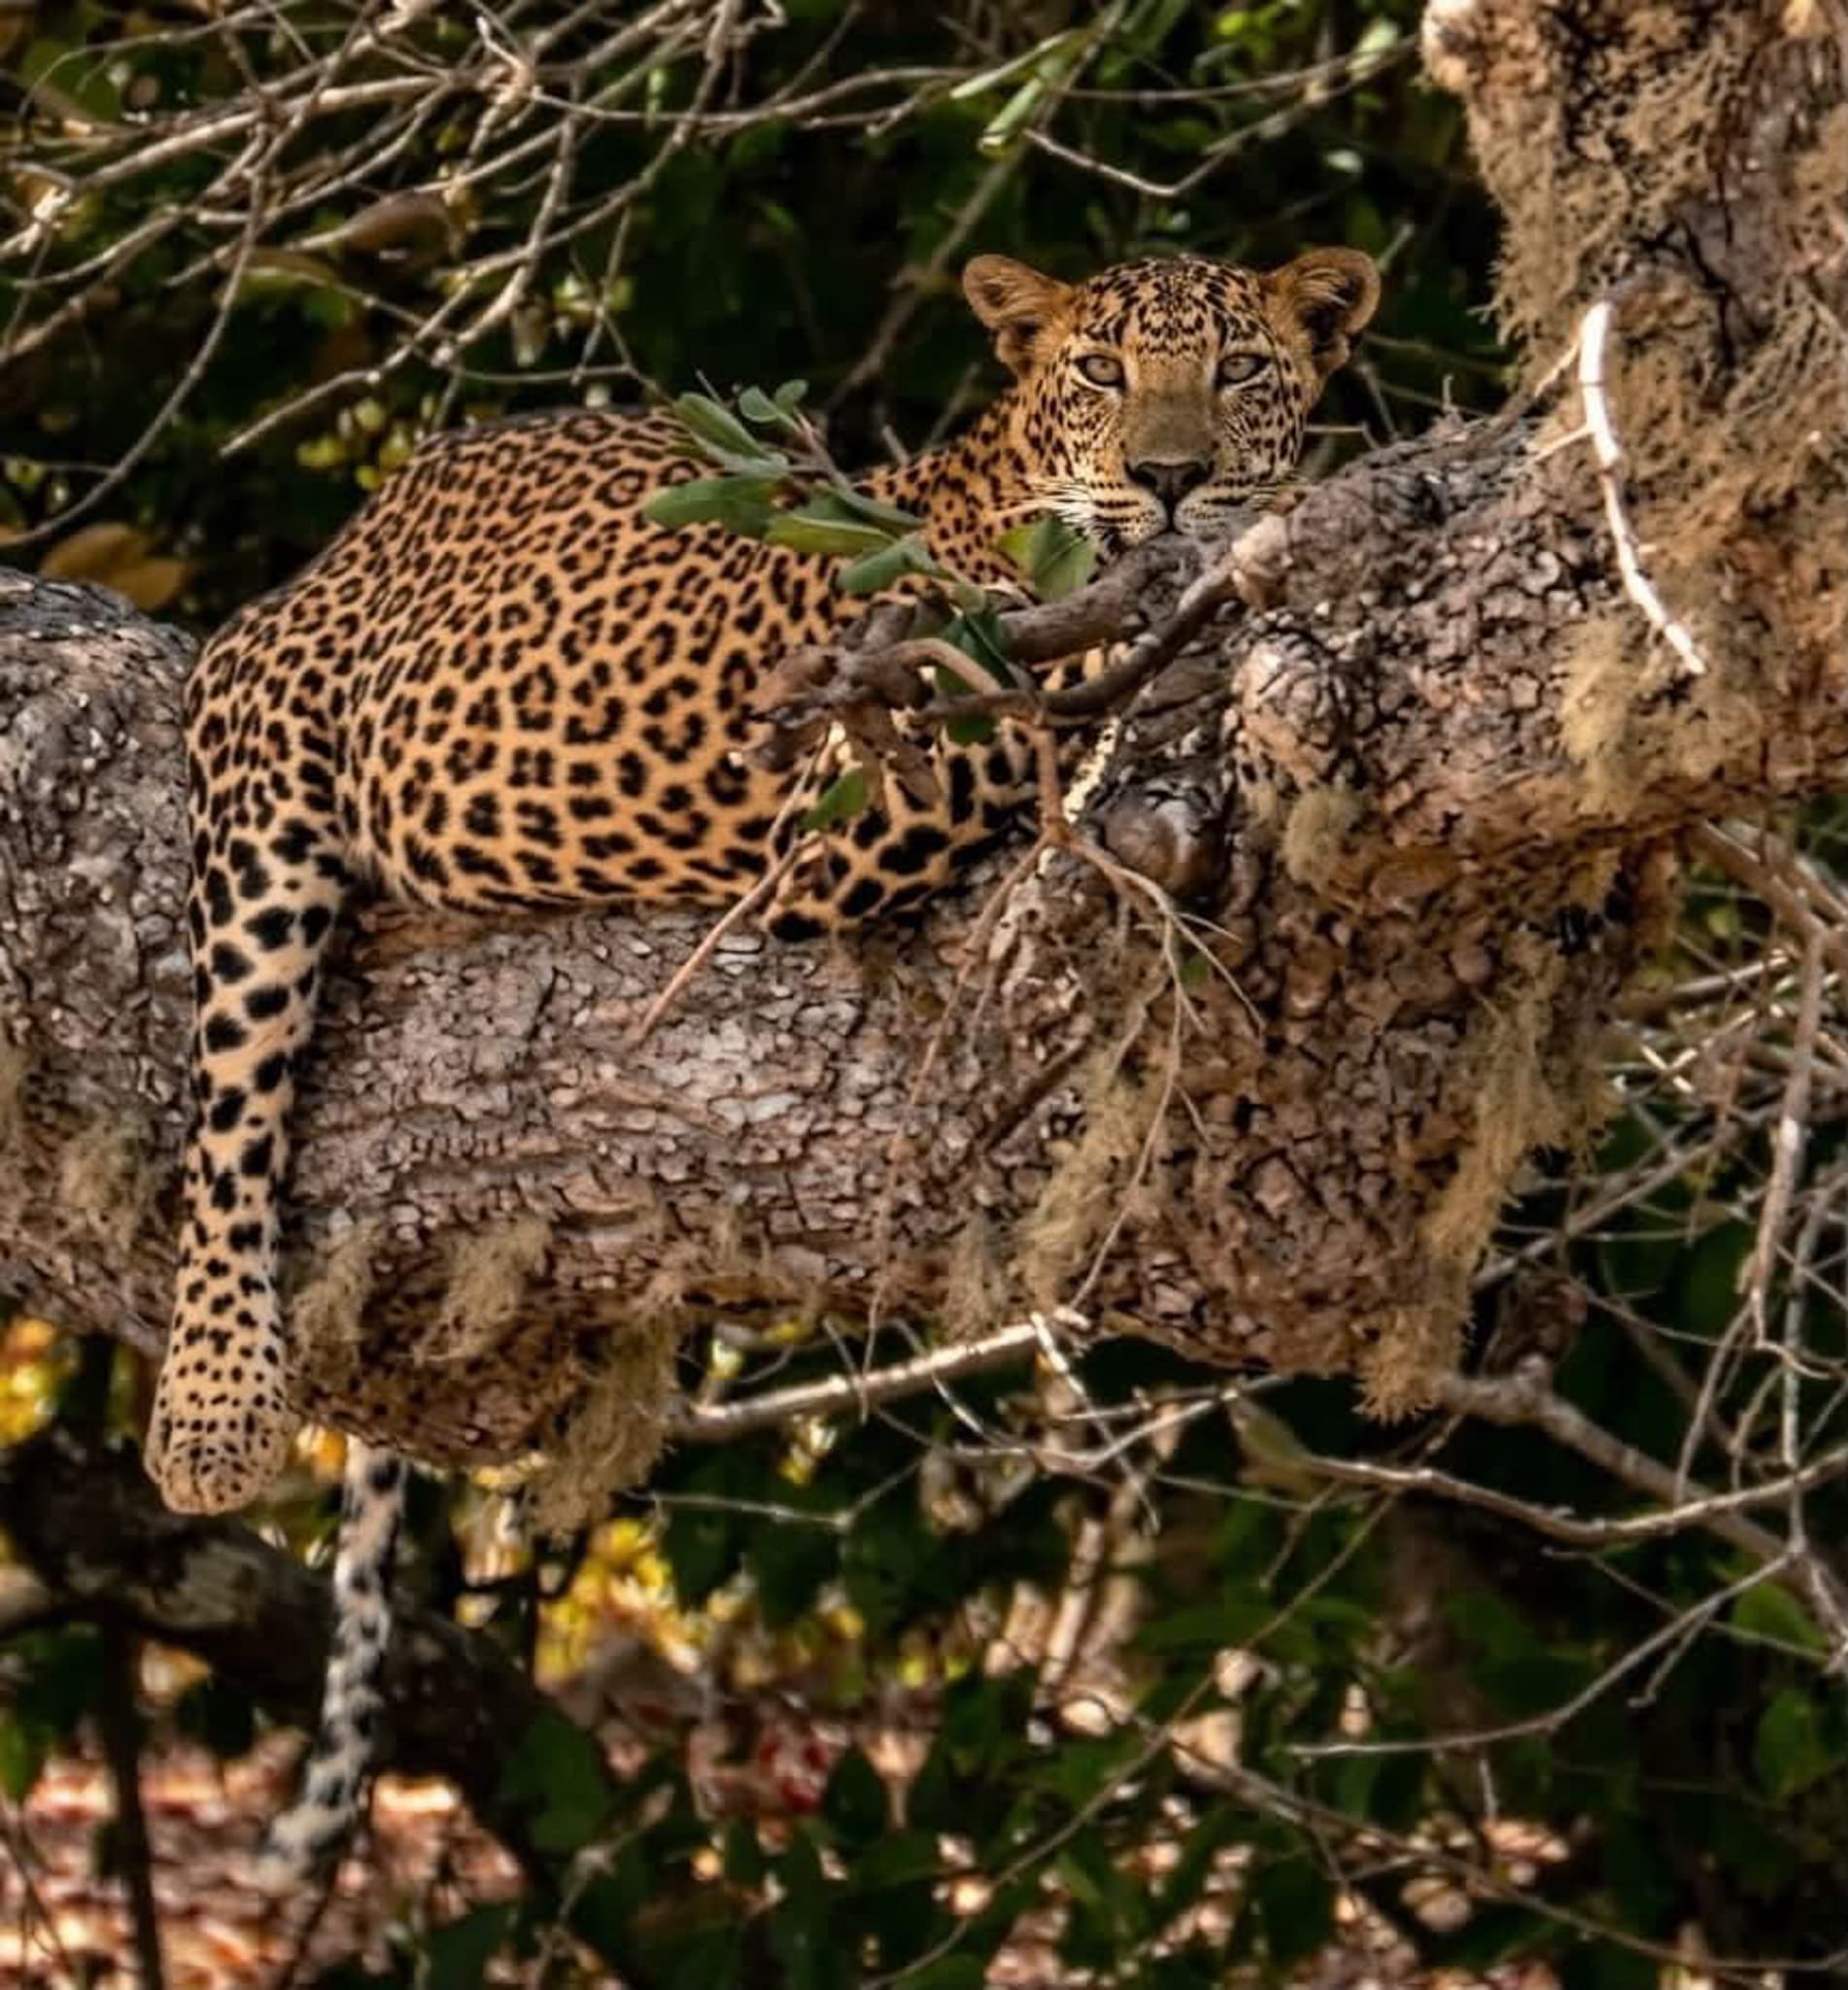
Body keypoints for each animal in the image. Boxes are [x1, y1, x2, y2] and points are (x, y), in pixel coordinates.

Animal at [149, 245, 1378, 1873]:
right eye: (1101, 372)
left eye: (1239, 369)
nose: (1172, 481)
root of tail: (376, 510)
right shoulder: (860, 780)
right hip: (264, 753)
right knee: (232, 1107)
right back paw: (211, 1413)